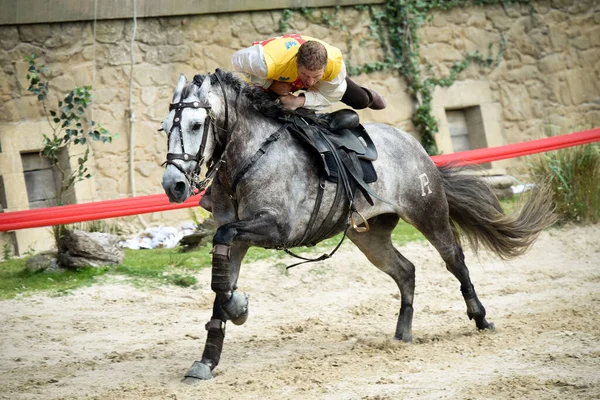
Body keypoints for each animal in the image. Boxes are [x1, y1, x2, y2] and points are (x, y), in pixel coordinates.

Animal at [162, 70, 556, 382]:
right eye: (165, 128)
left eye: (196, 125)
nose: (174, 185)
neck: (251, 155)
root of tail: (414, 146)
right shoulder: (239, 236)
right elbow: (221, 283)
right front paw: (208, 358)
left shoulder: (276, 227)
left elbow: (223, 264)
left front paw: (238, 307)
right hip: (369, 236)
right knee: (405, 271)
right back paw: (402, 333)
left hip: (428, 213)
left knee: (454, 259)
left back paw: (481, 318)